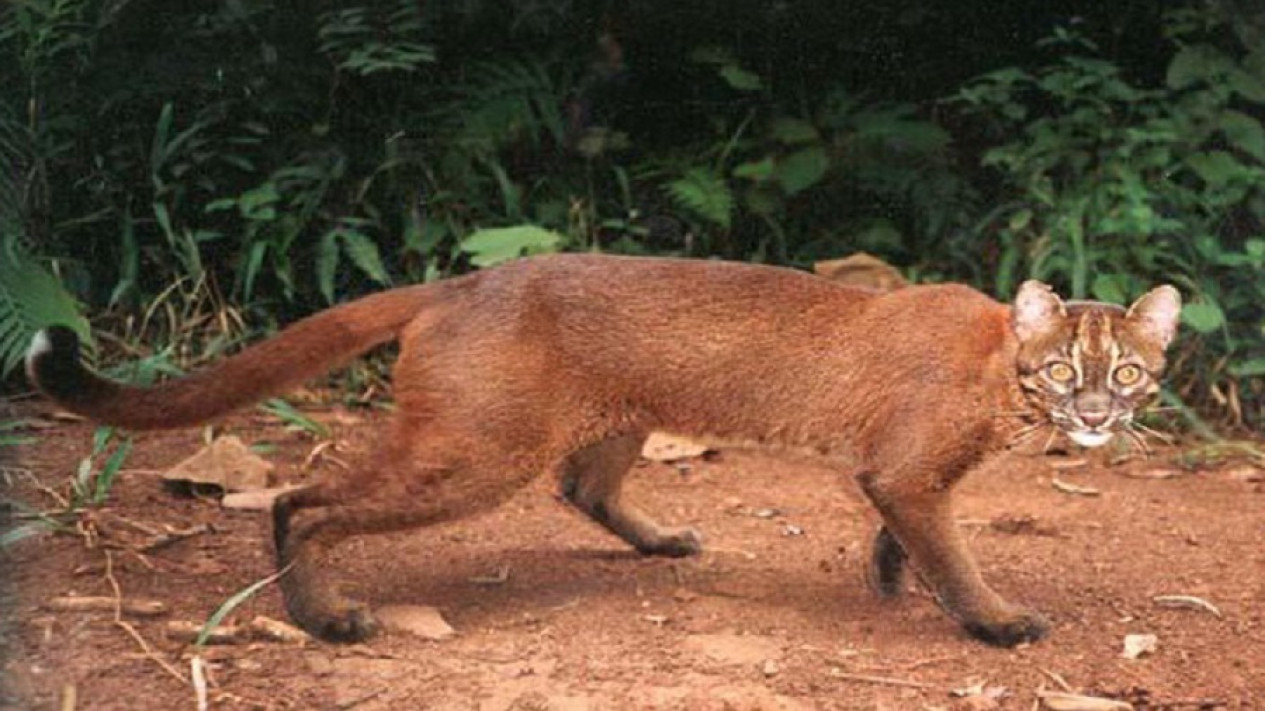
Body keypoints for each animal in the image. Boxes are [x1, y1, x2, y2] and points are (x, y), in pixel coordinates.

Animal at [24, 251, 1178, 645]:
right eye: (1062, 372)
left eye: (1126, 374)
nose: (1092, 416)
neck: (996, 371)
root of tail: (459, 281)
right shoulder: (908, 467)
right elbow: (951, 551)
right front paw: (992, 621)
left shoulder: (892, 475)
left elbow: (904, 534)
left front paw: (893, 582)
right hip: (475, 452)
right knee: (298, 500)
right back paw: (328, 617)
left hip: (611, 419)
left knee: (581, 487)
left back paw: (663, 540)